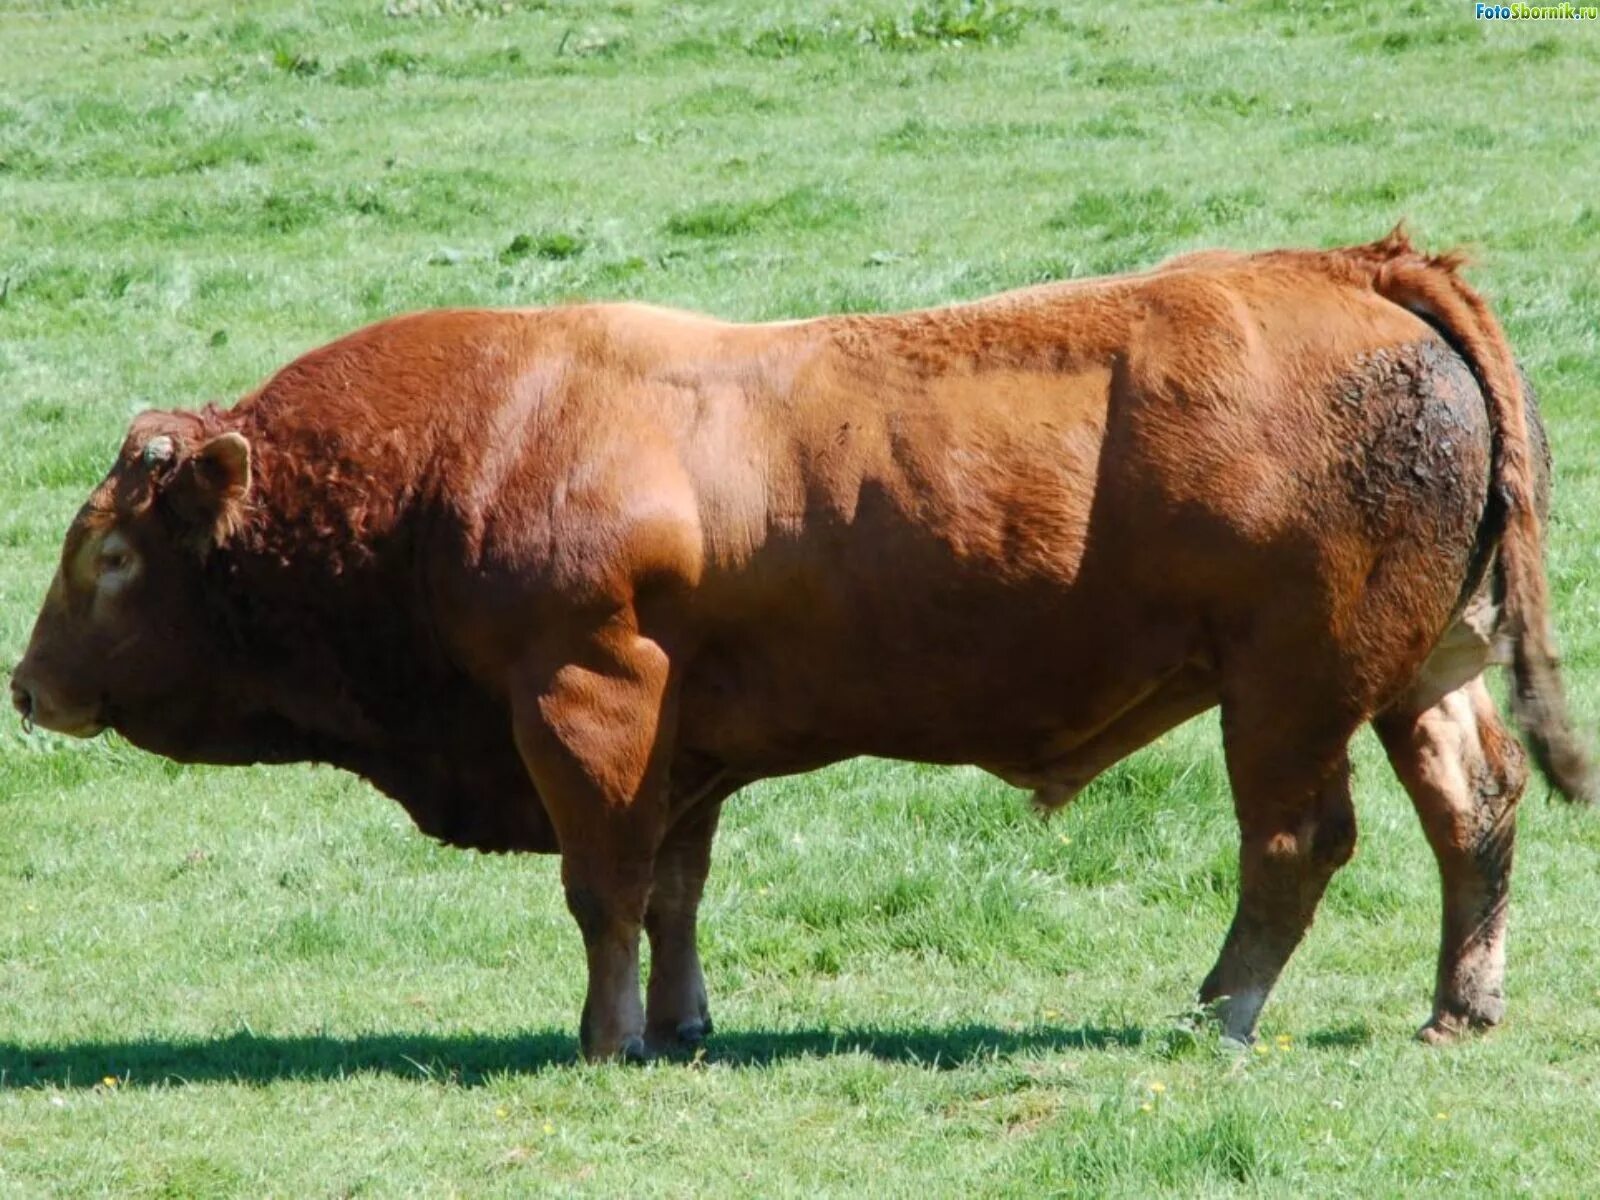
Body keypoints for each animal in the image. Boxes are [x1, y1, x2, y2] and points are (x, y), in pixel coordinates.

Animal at [9, 232, 1587, 1062]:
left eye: (110, 554)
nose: (27, 685)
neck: (494, 430)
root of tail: (1358, 266)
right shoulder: (684, 740)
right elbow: (673, 892)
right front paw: (683, 1023)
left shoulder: (586, 701)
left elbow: (604, 889)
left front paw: (605, 1040)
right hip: (1416, 673)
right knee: (1473, 809)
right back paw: (1459, 1007)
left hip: (1289, 690)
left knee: (1296, 842)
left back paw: (1222, 1008)